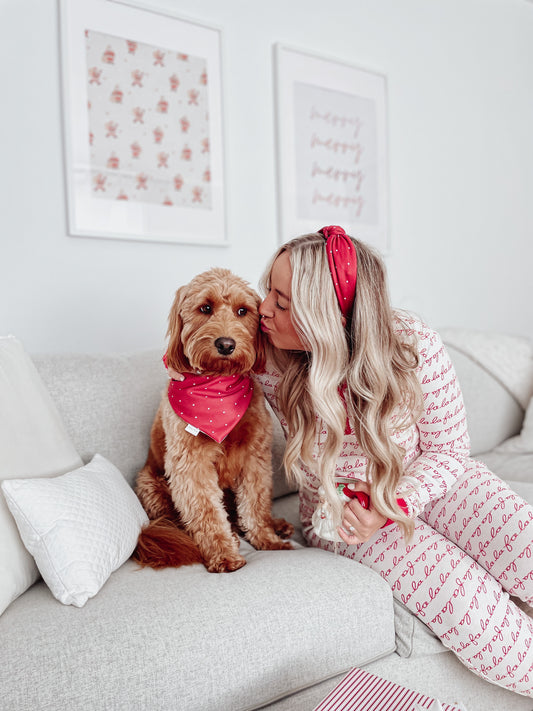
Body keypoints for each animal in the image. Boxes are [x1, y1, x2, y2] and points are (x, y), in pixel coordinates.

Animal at [132, 268, 290, 572]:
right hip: (151, 485)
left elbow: (255, 502)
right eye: (205, 308)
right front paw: (223, 553)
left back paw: (274, 524)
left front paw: (266, 538)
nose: (226, 344)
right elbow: (205, 511)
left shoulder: (255, 457)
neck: (217, 390)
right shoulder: (190, 465)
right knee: (180, 521)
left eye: (242, 311)